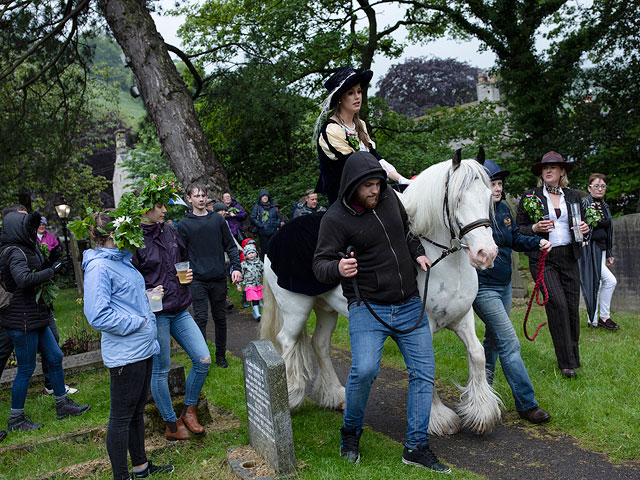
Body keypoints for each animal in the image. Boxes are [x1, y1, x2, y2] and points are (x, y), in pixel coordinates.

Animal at [258, 151, 500, 436]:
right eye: (457, 198)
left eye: (489, 195)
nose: (486, 254)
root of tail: (274, 238)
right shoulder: (423, 326)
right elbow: (426, 365)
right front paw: (437, 418)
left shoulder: (462, 318)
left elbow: (477, 355)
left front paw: (481, 412)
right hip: (295, 310)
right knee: (286, 342)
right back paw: (291, 397)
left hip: (326, 309)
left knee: (320, 344)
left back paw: (336, 395)